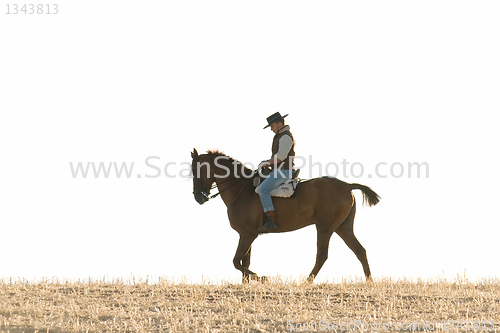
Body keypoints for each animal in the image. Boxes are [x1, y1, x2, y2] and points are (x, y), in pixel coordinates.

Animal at [190, 149, 378, 282]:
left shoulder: (248, 235)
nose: (199, 197)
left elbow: (237, 262)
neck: (240, 189)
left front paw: (262, 278)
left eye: (196, 170)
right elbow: (244, 262)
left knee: (322, 255)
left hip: (325, 228)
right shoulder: (246, 235)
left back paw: (306, 282)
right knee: (360, 251)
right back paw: (369, 281)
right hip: (342, 227)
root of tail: (347, 185)